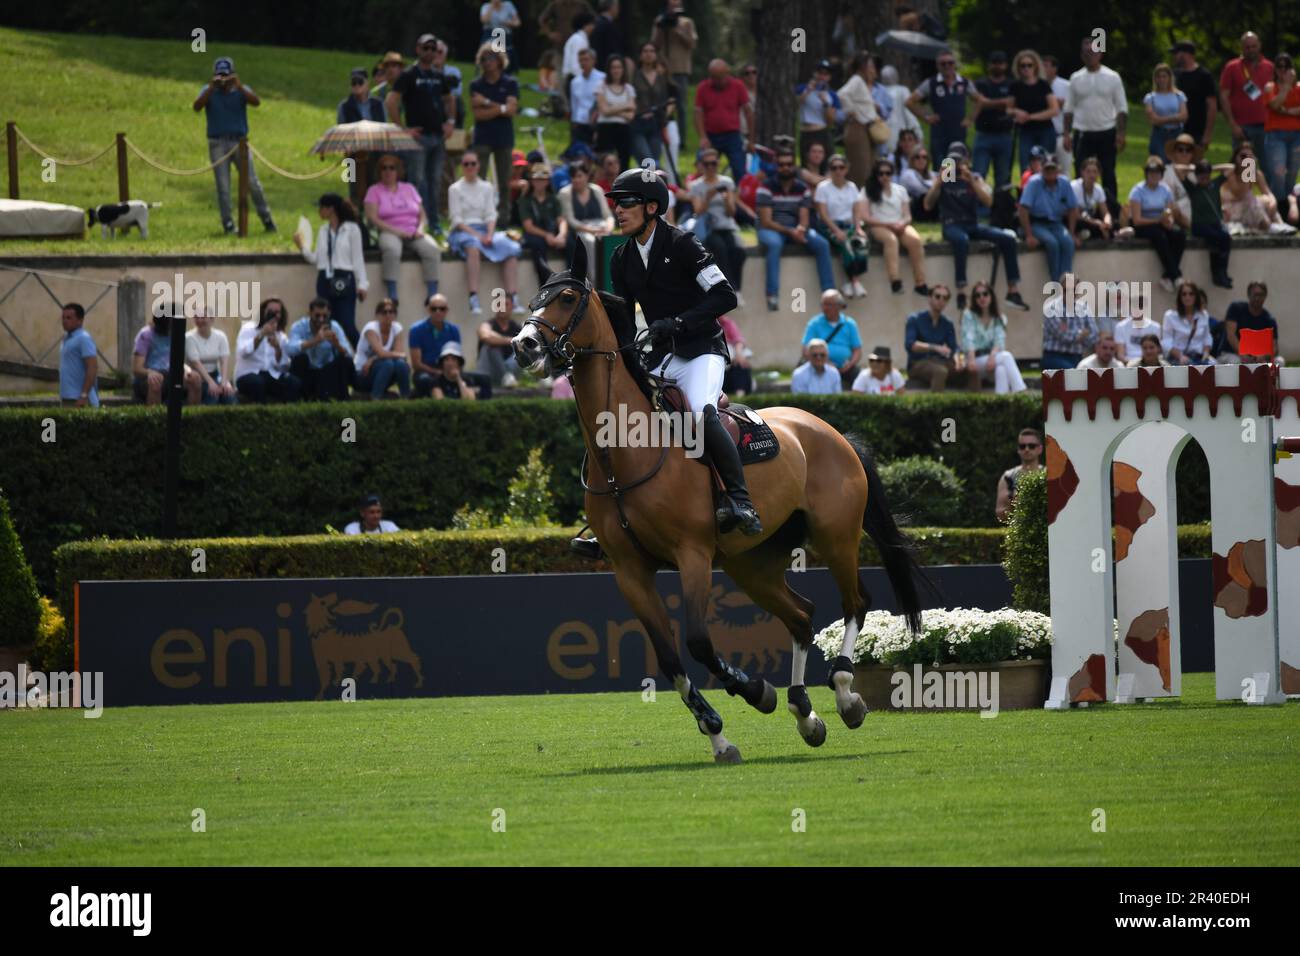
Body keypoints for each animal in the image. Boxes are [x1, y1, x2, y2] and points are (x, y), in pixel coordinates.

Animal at [506, 243, 925, 764]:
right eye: (532, 301)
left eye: (565, 298)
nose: (523, 345)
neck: (625, 449)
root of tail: (829, 431)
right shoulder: (630, 571)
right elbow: (669, 657)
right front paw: (719, 734)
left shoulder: (693, 555)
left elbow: (700, 643)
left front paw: (754, 692)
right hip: (751, 563)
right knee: (801, 616)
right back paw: (804, 712)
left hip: (835, 536)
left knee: (855, 603)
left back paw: (845, 696)